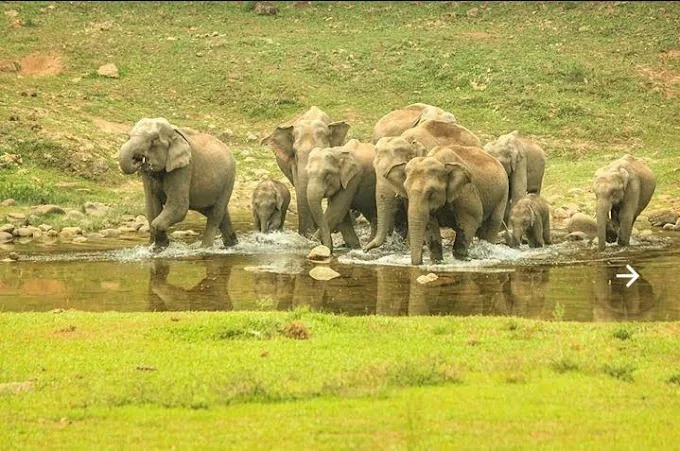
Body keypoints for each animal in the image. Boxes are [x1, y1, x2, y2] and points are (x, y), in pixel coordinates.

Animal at [118, 117, 237, 251]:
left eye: (154, 139)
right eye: (128, 136)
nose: (138, 159)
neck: (174, 134)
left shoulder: (184, 168)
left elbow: (179, 207)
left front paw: (160, 246)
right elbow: (151, 206)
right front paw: (157, 246)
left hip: (228, 181)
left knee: (215, 214)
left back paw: (204, 248)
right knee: (220, 215)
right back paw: (233, 244)